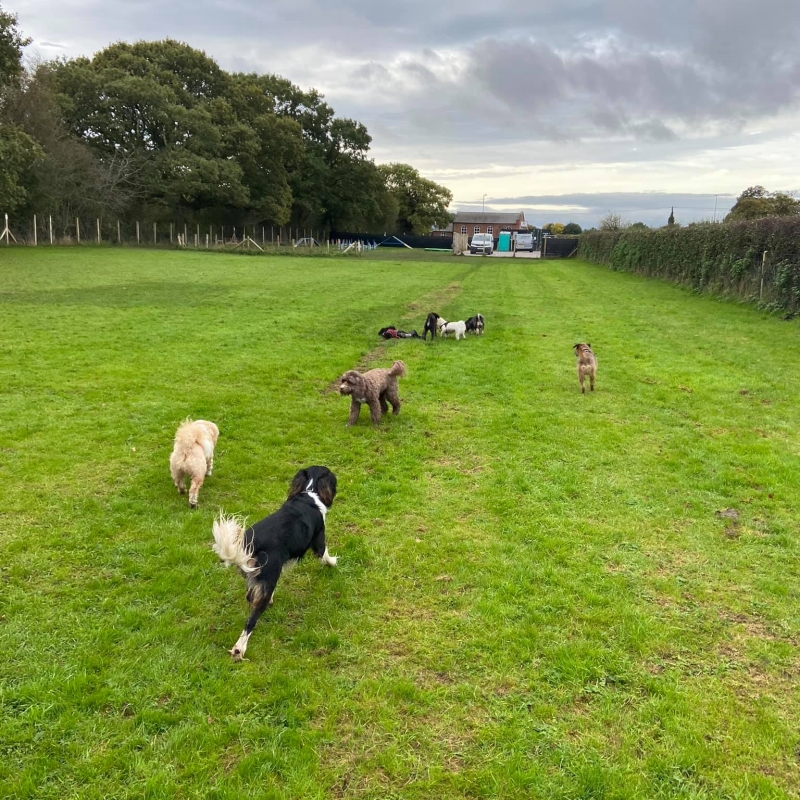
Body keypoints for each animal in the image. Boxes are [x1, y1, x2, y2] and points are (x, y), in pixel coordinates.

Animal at [212, 466, 338, 661]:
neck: (309, 492)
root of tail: (250, 544)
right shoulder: (319, 539)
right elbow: (325, 555)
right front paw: (333, 562)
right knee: (251, 621)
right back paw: (239, 649)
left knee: (251, 597)